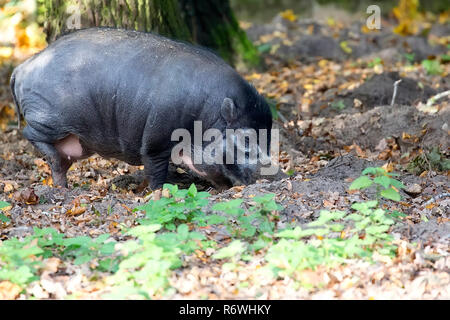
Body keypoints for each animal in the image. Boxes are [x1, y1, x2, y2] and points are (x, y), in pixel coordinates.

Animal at [10, 27, 272, 189]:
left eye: (269, 136)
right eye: (246, 139)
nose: (272, 174)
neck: (204, 116)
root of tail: (23, 67)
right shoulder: (156, 139)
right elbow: (156, 169)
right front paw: (160, 191)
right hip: (48, 119)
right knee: (29, 134)